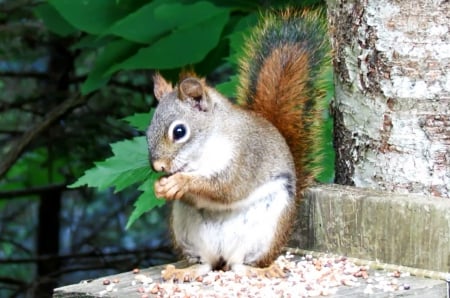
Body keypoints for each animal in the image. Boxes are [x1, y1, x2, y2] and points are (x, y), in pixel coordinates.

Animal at [146, 8, 328, 280]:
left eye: (179, 131)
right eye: (147, 131)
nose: (158, 167)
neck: (203, 152)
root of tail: (223, 254)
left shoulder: (245, 156)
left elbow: (227, 187)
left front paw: (180, 182)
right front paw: (160, 187)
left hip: (264, 232)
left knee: (240, 264)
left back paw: (261, 272)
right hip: (187, 233)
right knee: (206, 263)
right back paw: (184, 272)